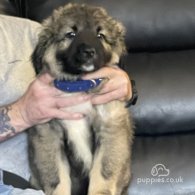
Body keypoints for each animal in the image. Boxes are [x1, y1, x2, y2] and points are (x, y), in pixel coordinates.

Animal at [27, 3, 134, 195]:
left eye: (100, 35)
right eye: (71, 34)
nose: (89, 51)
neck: (78, 85)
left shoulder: (110, 128)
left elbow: (103, 173)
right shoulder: (48, 133)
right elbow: (56, 177)